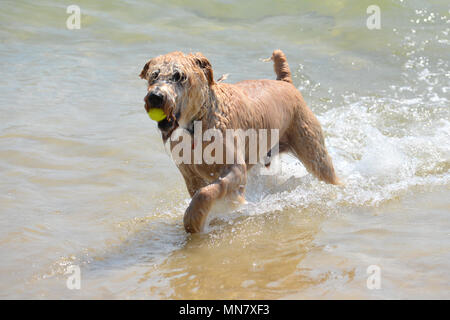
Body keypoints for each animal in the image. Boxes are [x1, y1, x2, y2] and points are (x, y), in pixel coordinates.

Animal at [140, 51, 338, 234]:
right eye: (154, 75)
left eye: (179, 76)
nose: (155, 96)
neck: (197, 124)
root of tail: (285, 82)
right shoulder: (190, 175)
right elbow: (200, 192)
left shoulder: (235, 169)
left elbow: (205, 194)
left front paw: (194, 220)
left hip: (314, 152)